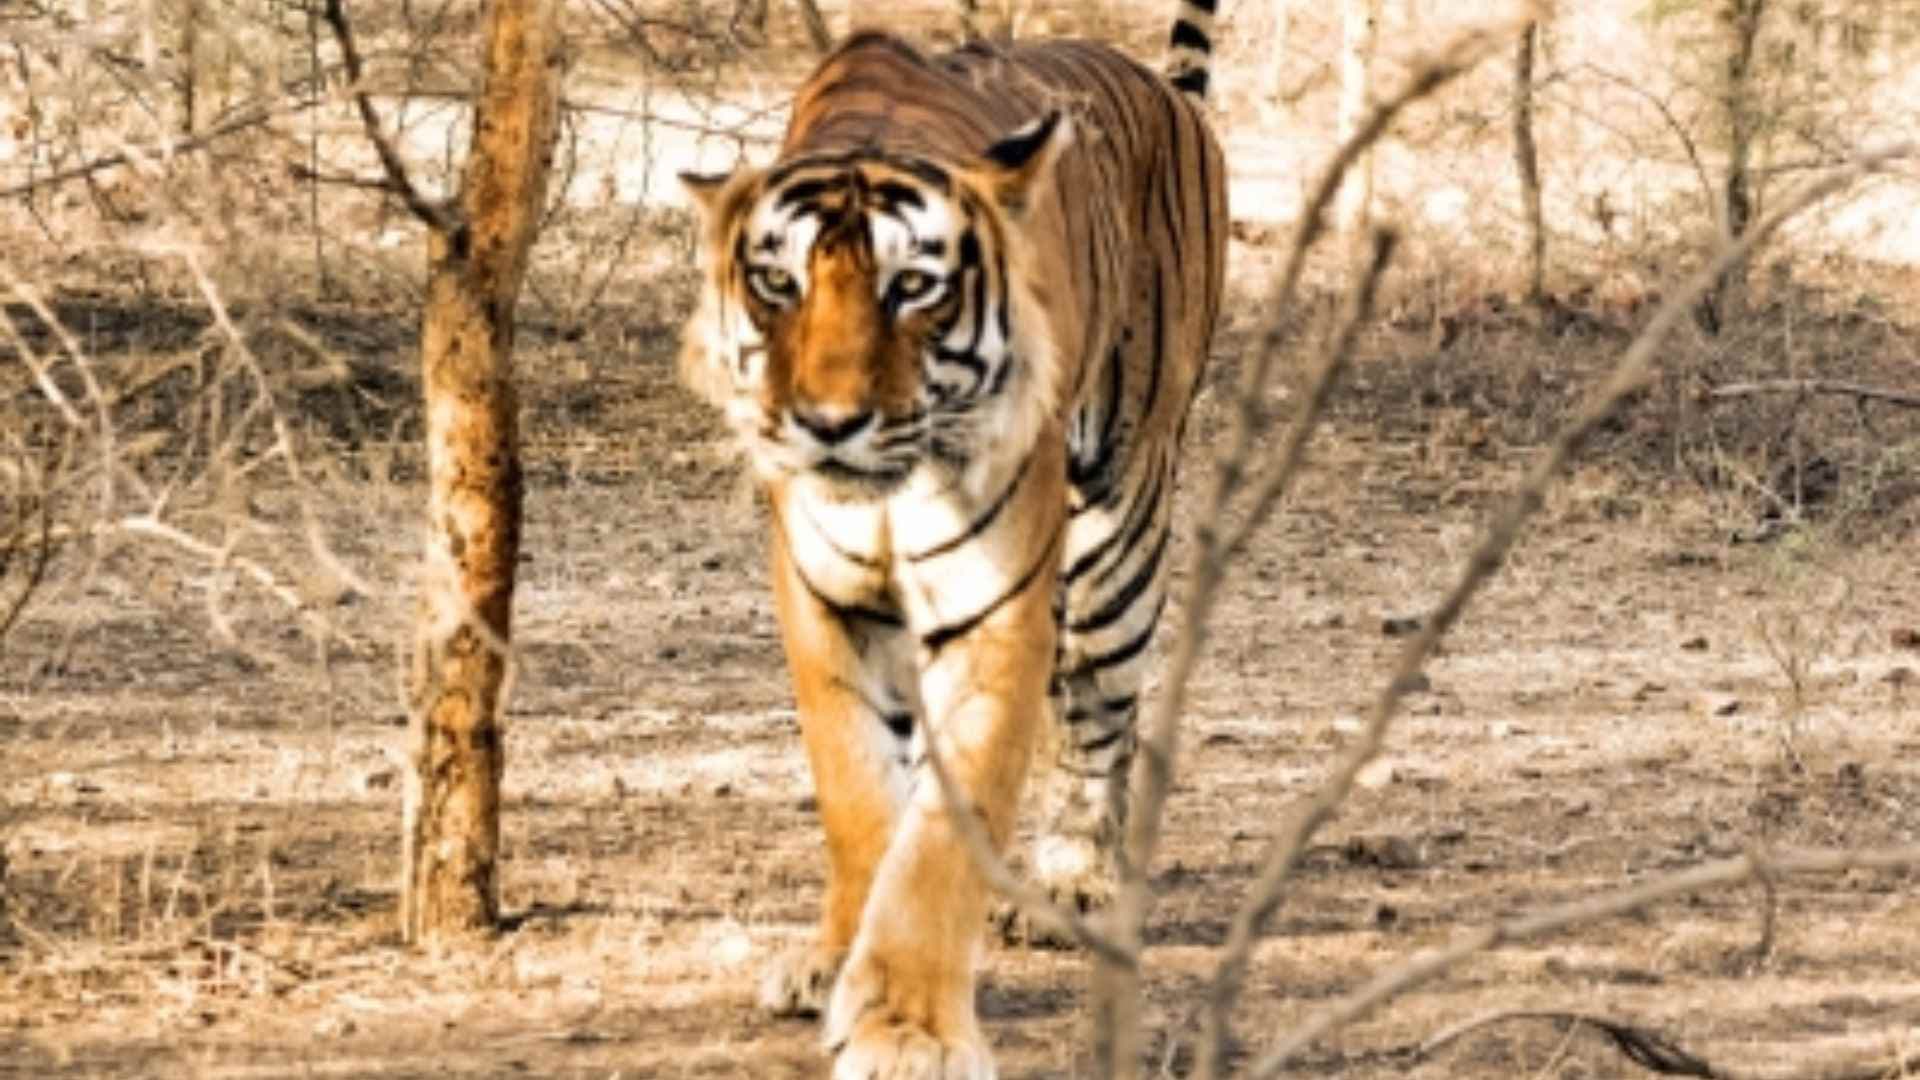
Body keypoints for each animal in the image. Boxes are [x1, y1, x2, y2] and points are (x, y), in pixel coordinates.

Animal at [677, 0, 1226, 1074]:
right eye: (777, 284)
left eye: (912, 288)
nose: (829, 422)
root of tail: (1166, 91)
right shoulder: (825, 602)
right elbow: (859, 796)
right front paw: (834, 962)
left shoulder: (996, 605)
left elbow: (943, 831)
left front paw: (911, 1029)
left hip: (1122, 520)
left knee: (1101, 712)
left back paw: (1072, 881)